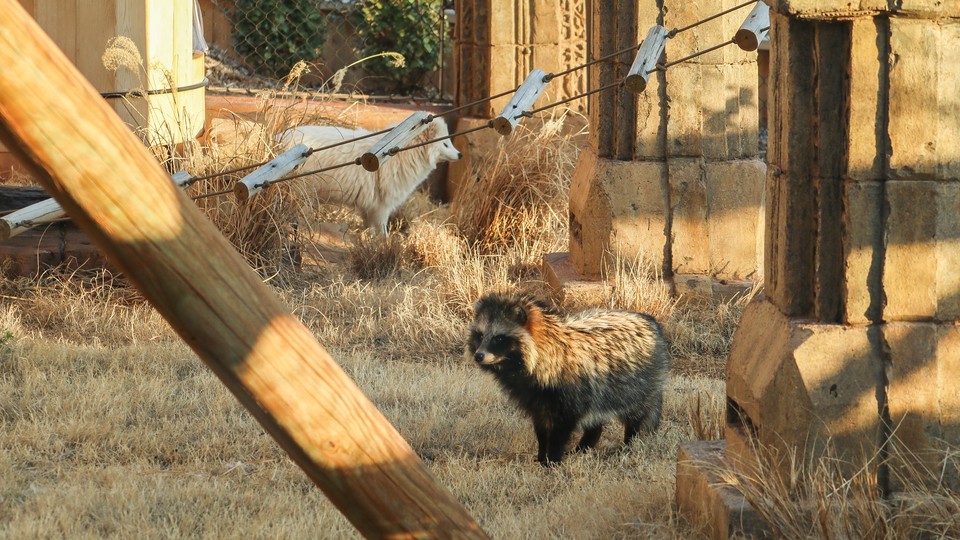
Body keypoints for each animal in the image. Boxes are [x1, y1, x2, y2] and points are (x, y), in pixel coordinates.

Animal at [464, 292, 668, 464]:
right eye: (480, 335)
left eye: (498, 338)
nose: (478, 355)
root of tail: (651, 321)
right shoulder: (535, 397)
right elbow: (541, 427)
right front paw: (542, 455)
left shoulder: (570, 390)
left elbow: (561, 429)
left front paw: (552, 460)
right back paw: (585, 446)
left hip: (637, 384)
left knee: (637, 414)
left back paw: (629, 442)